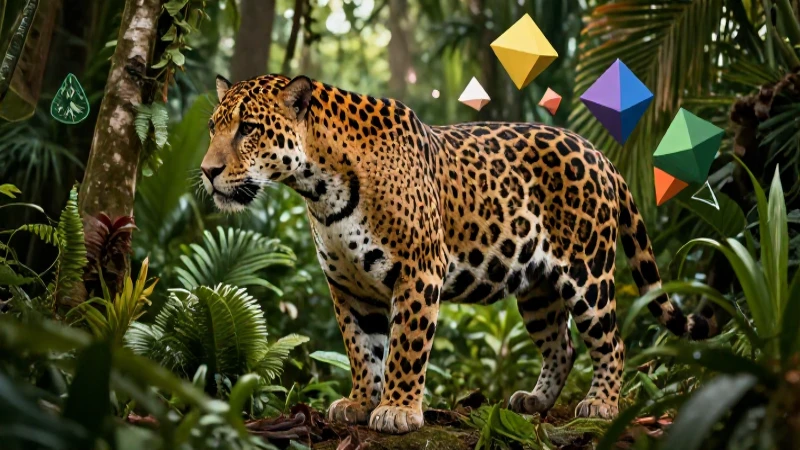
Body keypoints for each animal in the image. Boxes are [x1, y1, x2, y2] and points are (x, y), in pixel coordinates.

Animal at [200, 73, 718, 434]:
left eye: (248, 129)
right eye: (211, 128)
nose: (206, 171)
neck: (319, 188)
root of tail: (598, 151)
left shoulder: (418, 270)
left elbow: (405, 347)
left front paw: (397, 410)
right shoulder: (348, 286)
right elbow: (361, 349)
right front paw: (362, 402)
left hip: (587, 271)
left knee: (611, 340)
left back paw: (602, 403)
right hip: (537, 289)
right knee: (562, 345)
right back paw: (535, 402)